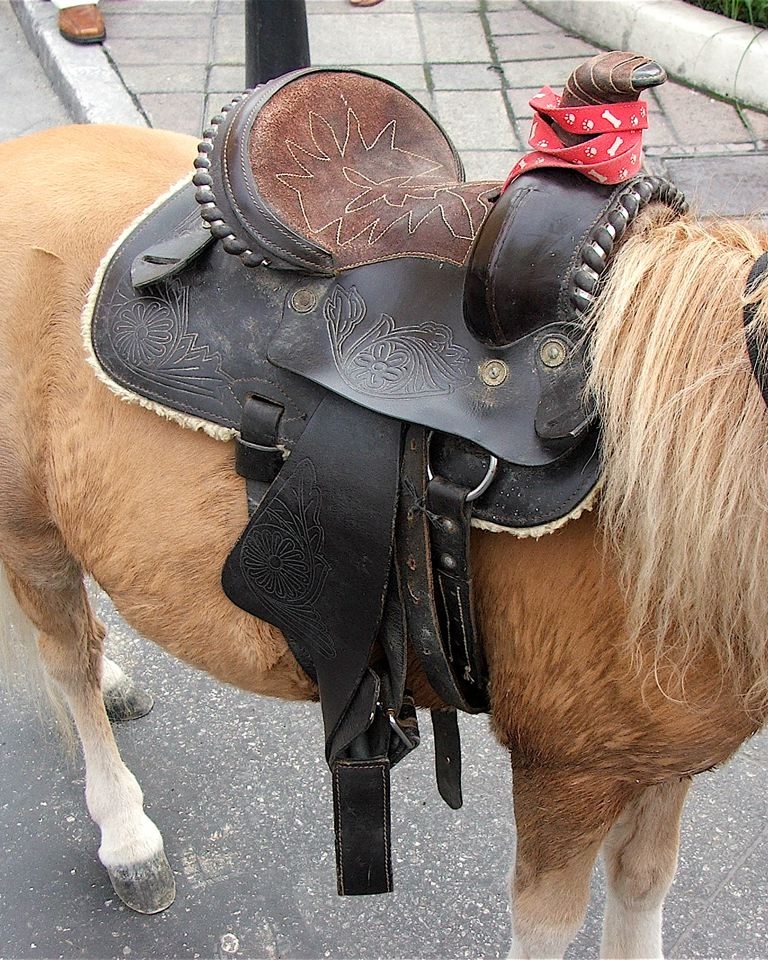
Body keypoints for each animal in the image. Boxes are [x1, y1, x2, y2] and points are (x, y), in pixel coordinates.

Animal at [0, 117, 766, 960]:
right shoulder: (568, 771)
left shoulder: (663, 763)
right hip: (28, 529)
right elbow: (550, 924)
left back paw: (116, 681)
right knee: (65, 655)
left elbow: (643, 883)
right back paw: (127, 835)